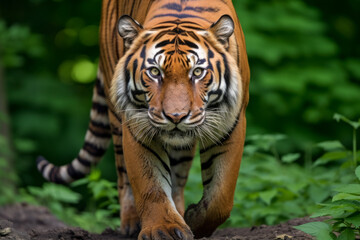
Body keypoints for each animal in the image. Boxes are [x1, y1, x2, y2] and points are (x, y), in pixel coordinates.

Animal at [37, 0, 250, 238]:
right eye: (155, 72)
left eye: (197, 72)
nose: (176, 116)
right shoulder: (137, 126)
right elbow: (150, 185)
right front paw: (164, 229)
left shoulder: (231, 124)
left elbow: (221, 195)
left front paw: (193, 220)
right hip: (116, 120)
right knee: (123, 177)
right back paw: (131, 223)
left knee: (178, 180)